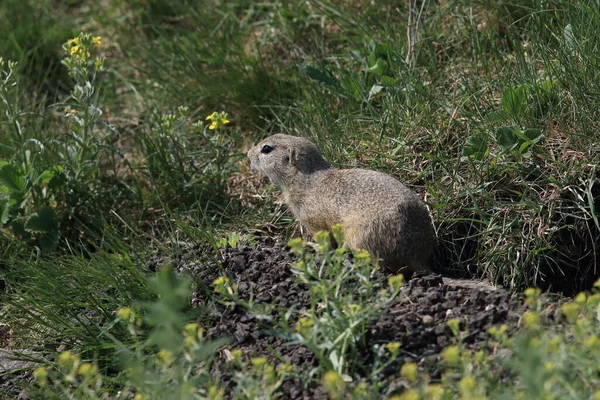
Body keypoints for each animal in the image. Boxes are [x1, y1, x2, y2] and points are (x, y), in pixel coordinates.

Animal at [247, 134, 436, 276]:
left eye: (266, 149)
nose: (248, 154)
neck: (305, 178)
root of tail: (417, 255)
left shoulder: (313, 220)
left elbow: (324, 239)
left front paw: (312, 246)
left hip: (360, 237)